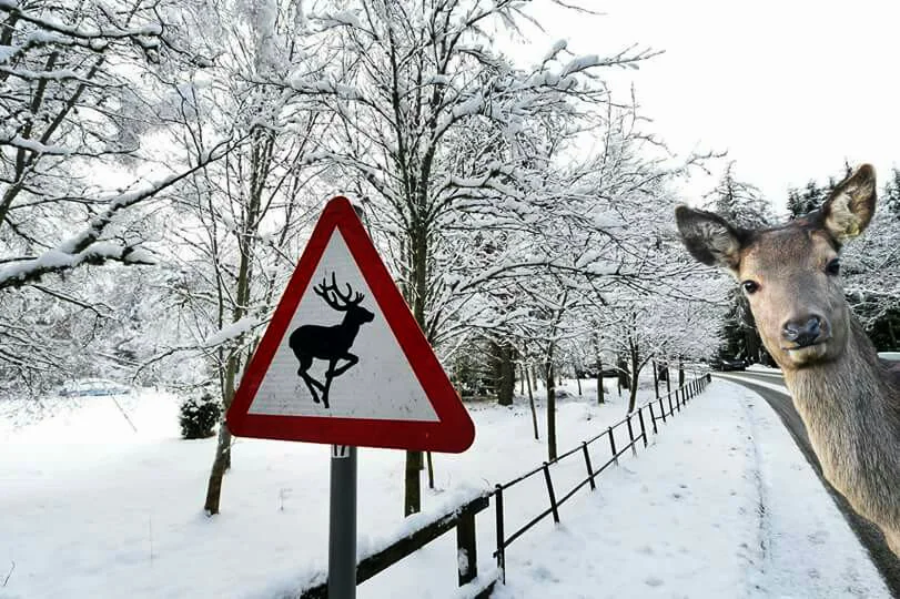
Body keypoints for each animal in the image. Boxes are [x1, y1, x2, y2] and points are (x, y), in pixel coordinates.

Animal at [289, 273, 375, 409]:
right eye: (359, 309)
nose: (372, 314)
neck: (346, 335)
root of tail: (290, 340)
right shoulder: (335, 354)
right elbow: (346, 365)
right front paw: (326, 397)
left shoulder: (341, 353)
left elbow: (355, 358)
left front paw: (328, 378)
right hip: (305, 354)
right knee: (301, 371)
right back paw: (319, 389)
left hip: (303, 356)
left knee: (300, 372)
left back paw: (317, 394)